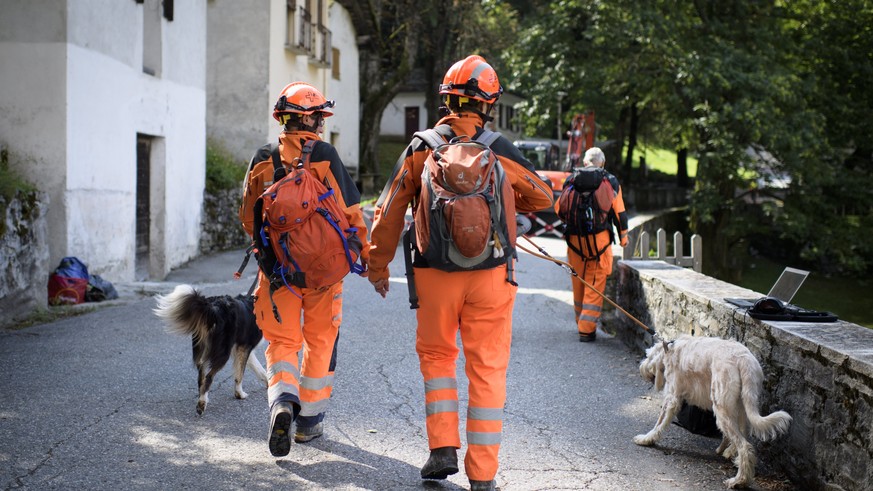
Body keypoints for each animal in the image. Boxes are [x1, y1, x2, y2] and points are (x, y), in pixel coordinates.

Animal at [632, 336, 792, 490]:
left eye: (648, 356)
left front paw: (646, 439)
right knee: (744, 433)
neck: (670, 349)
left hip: (722, 408)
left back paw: (739, 481)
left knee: (744, 446)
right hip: (743, 403)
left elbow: (659, 423)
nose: (641, 367)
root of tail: (743, 359)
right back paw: (730, 453)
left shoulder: (672, 398)